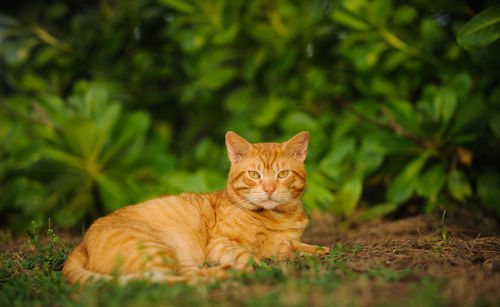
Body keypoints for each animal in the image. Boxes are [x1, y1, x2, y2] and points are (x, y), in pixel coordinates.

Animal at [61, 132, 328, 286]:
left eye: (282, 174)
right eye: (254, 174)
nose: (270, 189)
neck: (279, 217)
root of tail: (81, 244)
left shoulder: (287, 242)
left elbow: (297, 246)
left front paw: (318, 249)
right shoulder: (220, 244)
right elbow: (249, 254)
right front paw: (258, 265)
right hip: (156, 249)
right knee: (166, 281)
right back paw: (230, 272)